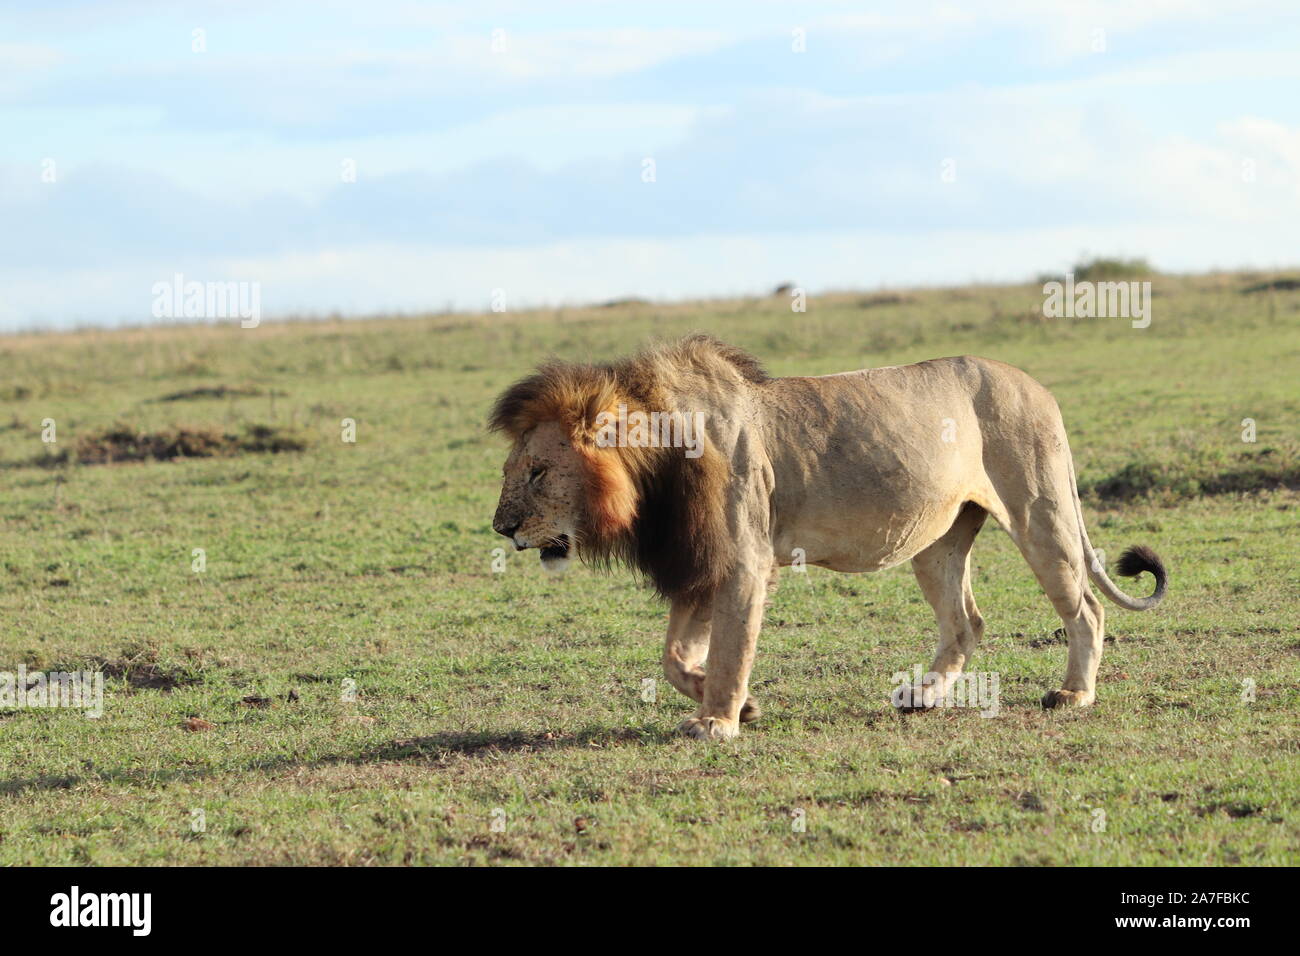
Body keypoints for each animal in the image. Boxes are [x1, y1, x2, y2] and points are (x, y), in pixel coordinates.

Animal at [488, 335, 1170, 738]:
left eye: (539, 472)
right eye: (510, 471)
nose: (502, 527)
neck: (656, 461)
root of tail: (1040, 387)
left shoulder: (742, 561)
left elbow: (730, 650)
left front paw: (718, 722)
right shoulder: (701, 563)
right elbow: (677, 657)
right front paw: (737, 706)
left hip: (1040, 511)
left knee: (1085, 609)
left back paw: (1073, 694)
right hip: (939, 540)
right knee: (966, 623)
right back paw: (923, 696)